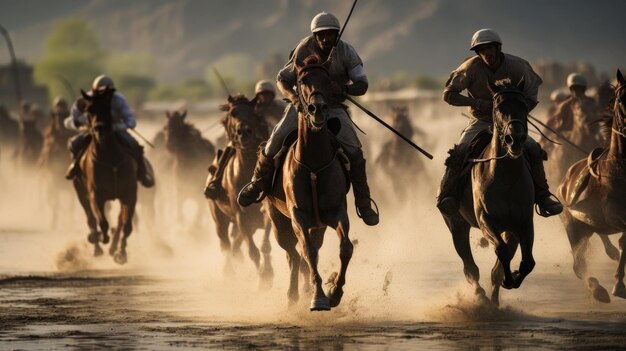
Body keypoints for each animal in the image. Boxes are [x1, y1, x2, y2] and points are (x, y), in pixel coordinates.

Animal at [72, 88, 137, 264]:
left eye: (107, 107)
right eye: (89, 109)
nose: (99, 128)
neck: (110, 159)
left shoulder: (129, 193)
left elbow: (126, 225)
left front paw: (121, 253)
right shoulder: (96, 194)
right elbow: (102, 222)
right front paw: (100, 237)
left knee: (120, 220)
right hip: (80, 190)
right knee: (91, 218)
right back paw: (97, 245)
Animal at [206, 95, 272, 288]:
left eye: (253, 113)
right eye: (232, 113)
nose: (244, 132)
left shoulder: (265, 213)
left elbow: (265, 244)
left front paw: (267, 273)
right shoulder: (240, 216)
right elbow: (252, 251)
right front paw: (263, 278)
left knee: (235, 243)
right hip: (219, 218)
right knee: (226, 243)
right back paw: (229, 272)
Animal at [264, 56, 352, 312]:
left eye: (328, 80)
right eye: (302, 81)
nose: (317, 109)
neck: (314, 162)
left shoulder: (336, 212)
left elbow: (345, 248)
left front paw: (334, 292)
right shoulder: (298, 215)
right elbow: (308, 252)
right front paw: (319, 297)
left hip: (318, 225)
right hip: (278, 222)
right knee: (293, 254)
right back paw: (293, 294)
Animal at [438, 79, 536, 308]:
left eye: (524, 105)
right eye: (498, 106)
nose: (515, 139)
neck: (506, 177)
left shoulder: (522, 223)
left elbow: (526, 262)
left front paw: (512, 278)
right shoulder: (486, 220)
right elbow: (501, 252)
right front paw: (508, 280)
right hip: (456, 225)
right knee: (470, 268)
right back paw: (481, 297)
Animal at [556, 70, 624, 304]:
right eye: (621, 98)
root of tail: (563, 184)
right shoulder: (614, 215)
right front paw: (618, 285)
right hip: (573, 226)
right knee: (578, 265)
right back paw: (598, 290)